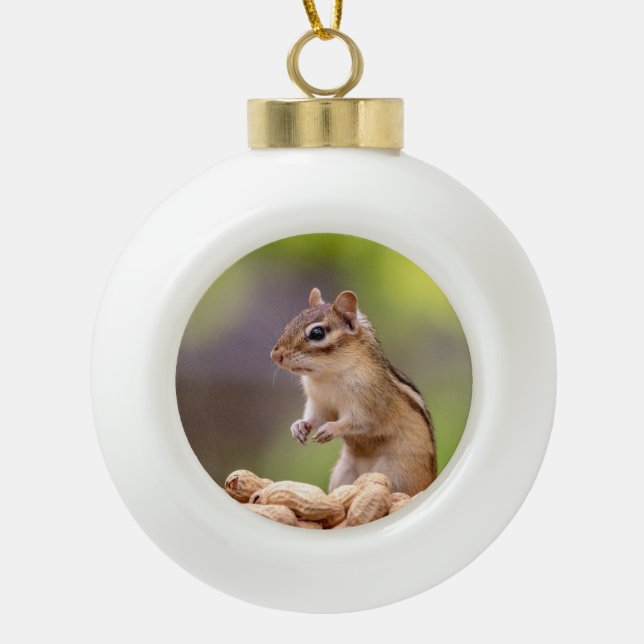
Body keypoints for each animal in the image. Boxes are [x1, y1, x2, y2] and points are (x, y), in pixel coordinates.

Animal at [270, 287, 437, 496]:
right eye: (289, 325)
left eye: (317, 333)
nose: (275, 355)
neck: (327, 376)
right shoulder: (319, 403)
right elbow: (316, 417)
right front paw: (299, 426)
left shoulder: (369, 402)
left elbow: (359, 421)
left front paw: (331, 428)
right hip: (343, 473)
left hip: (397, 474)